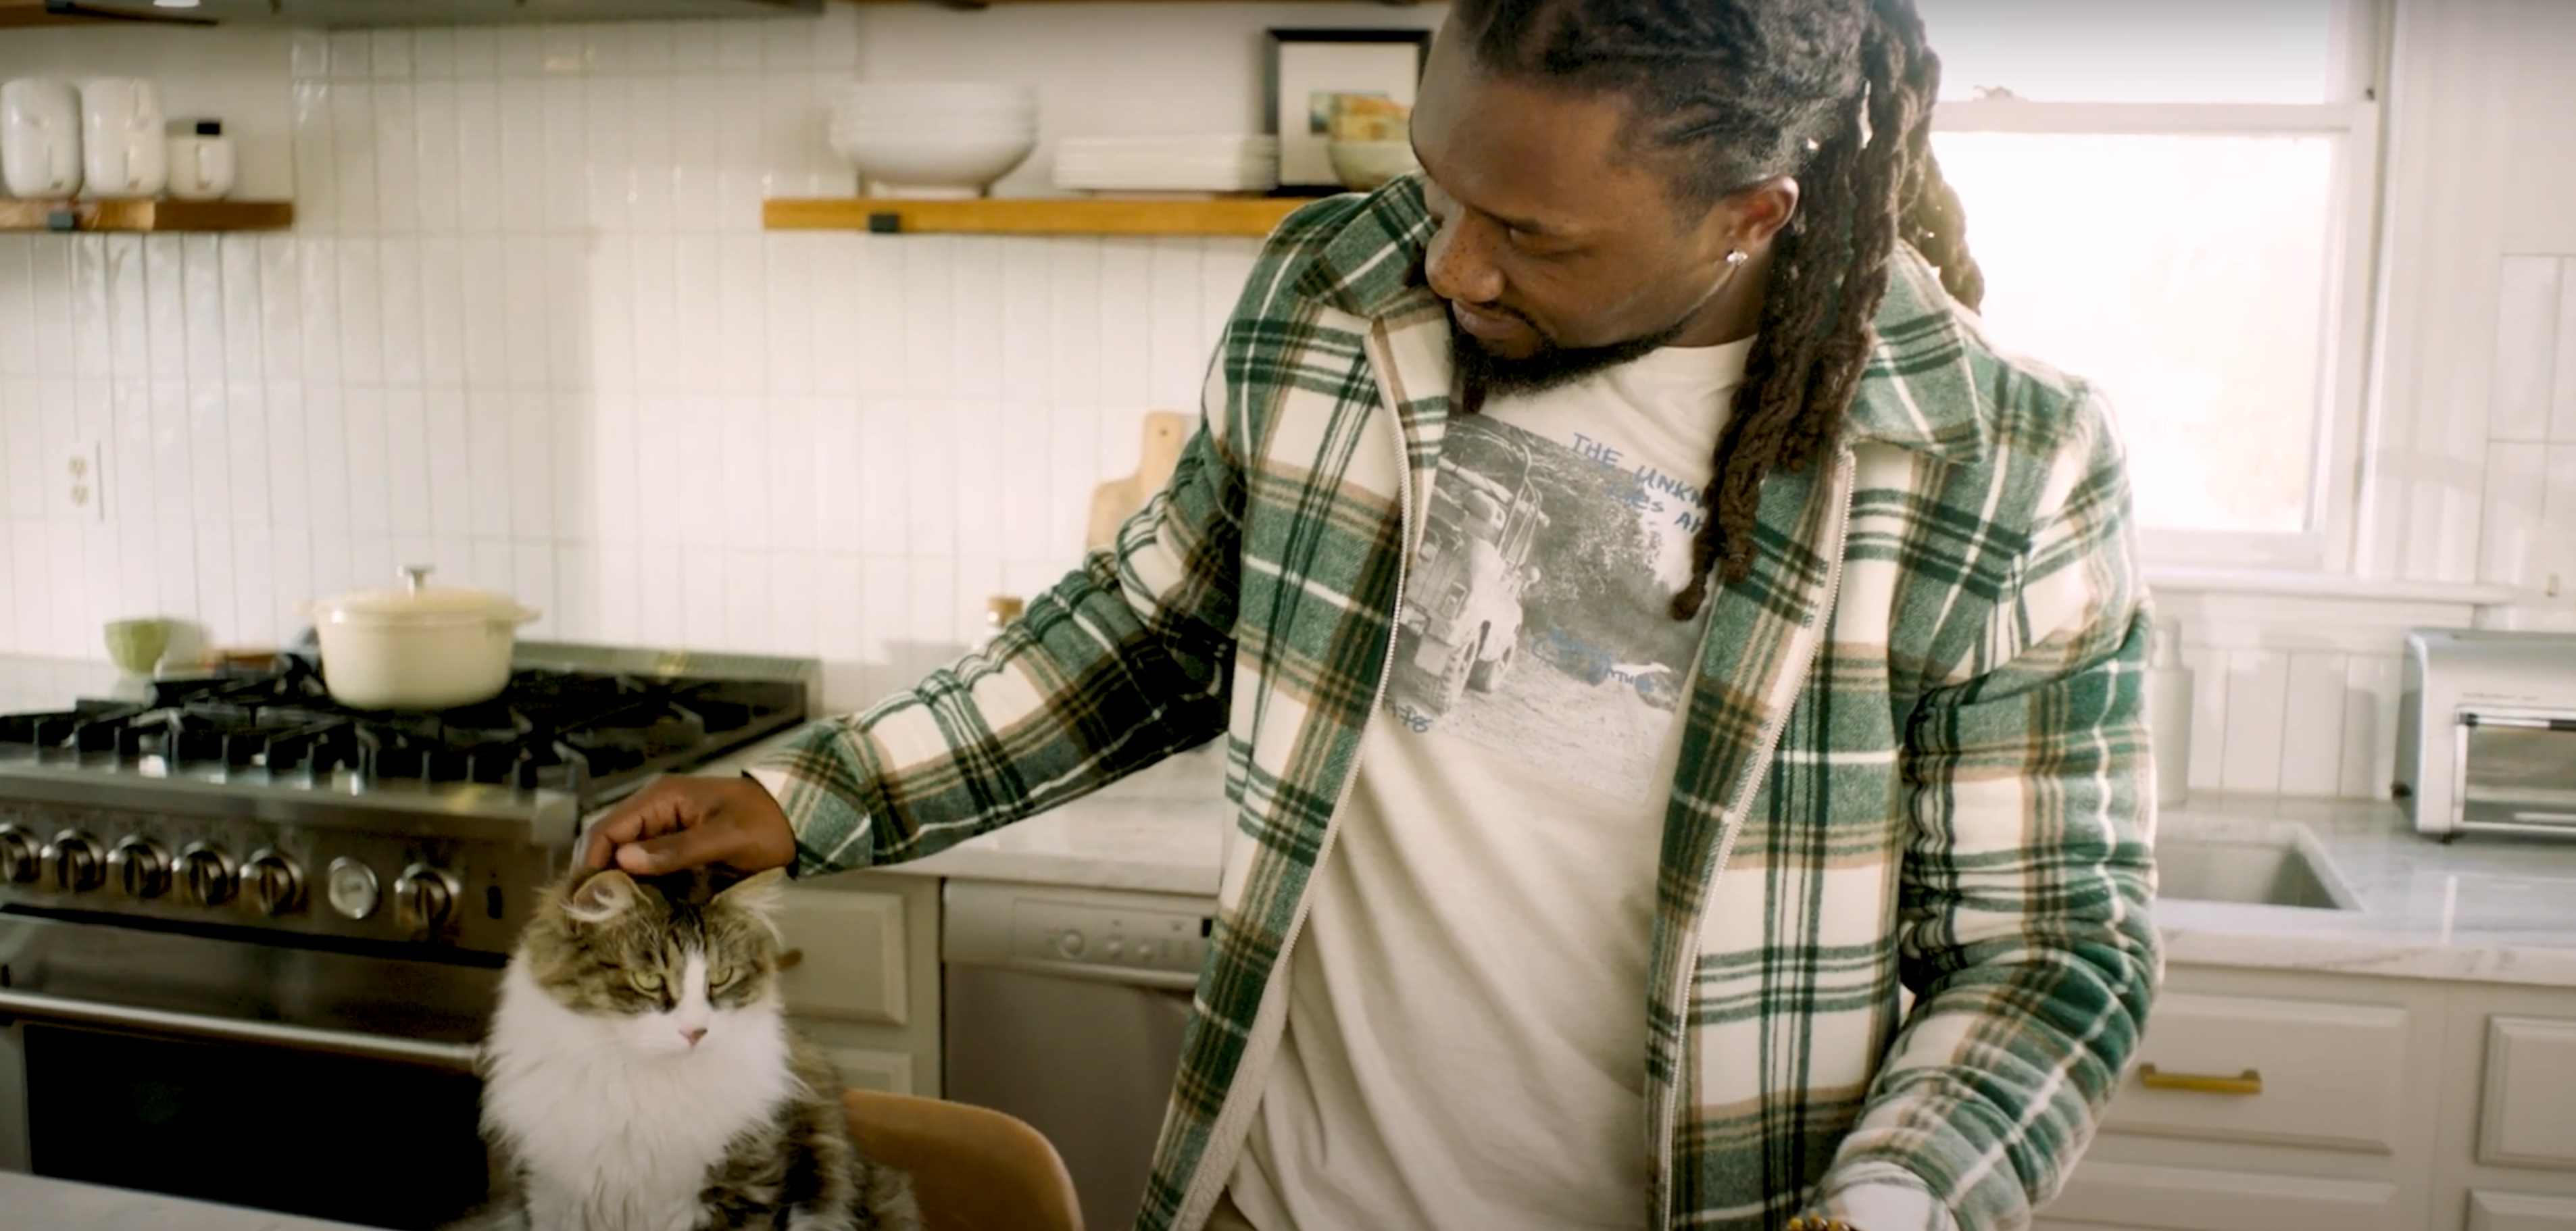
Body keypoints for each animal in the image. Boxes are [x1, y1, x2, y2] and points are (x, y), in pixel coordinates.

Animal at [445, 865, 927, 1231]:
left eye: (721, 978)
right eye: (649, 981)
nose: (696, 1032)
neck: (638, 1082)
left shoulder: (746, 1192)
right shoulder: (549, 1195)